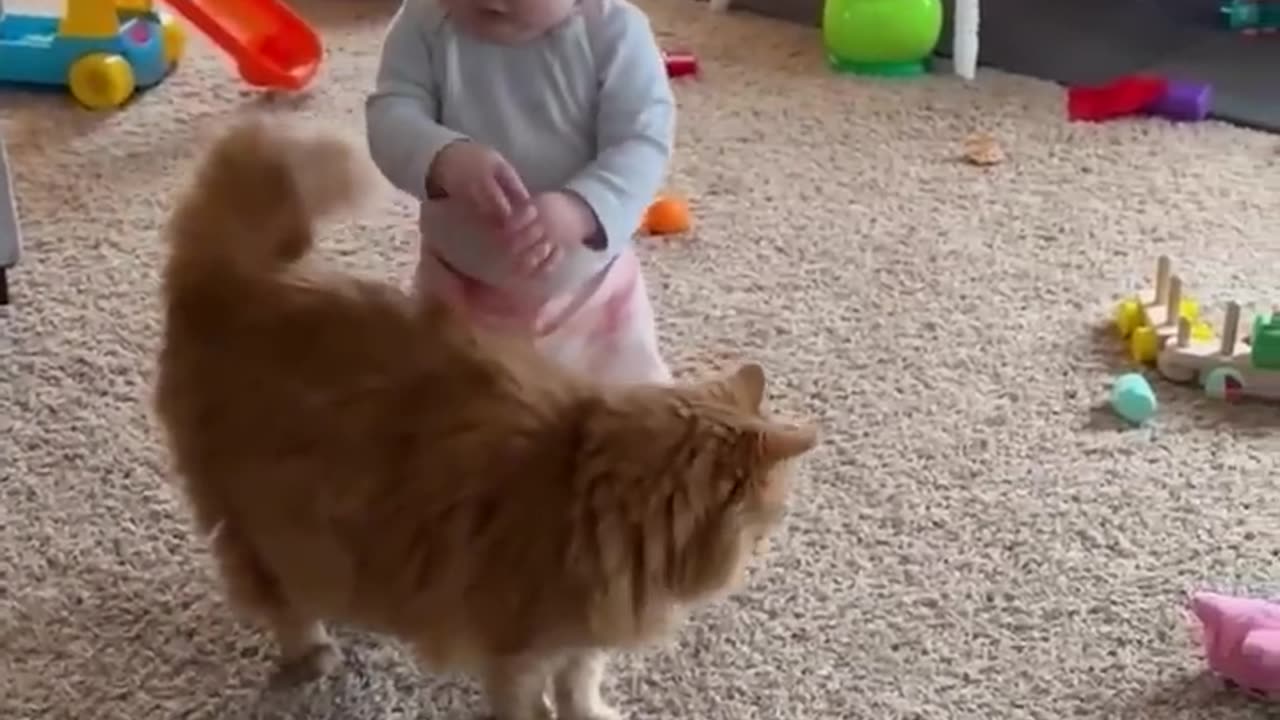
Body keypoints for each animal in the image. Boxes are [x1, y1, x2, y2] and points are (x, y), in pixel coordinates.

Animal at [152, 119, 819, 717]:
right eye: (774, 512)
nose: (771, 542)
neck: (594, 493)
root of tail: (233, 278)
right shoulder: (517, 652)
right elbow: (529, 703)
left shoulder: (581, 641)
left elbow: (580, 687)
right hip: (266, 524)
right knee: (281, 601)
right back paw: (312, 655)